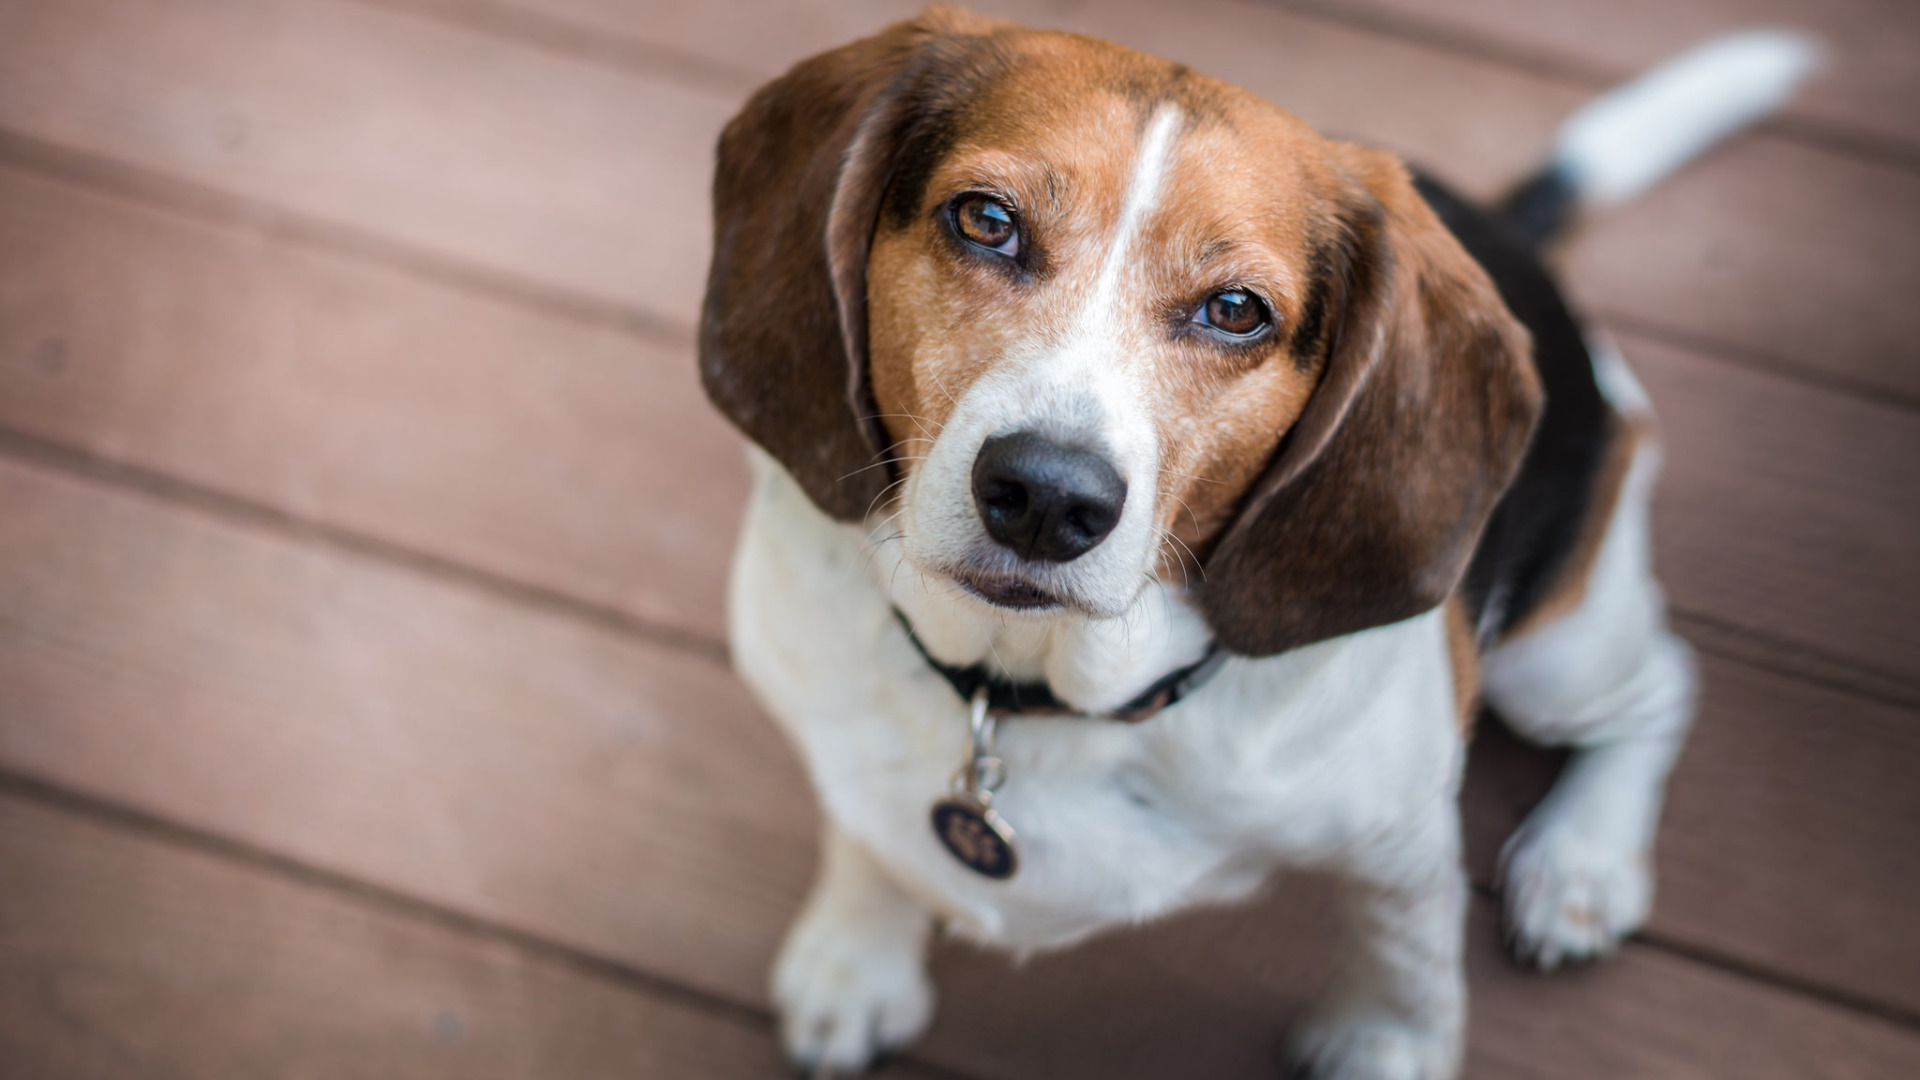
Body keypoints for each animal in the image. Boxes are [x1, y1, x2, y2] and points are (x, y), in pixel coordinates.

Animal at [706, 12, 1812, 1068]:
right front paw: (857, 955)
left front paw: (1381, 1043)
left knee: (1663, 686)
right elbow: (870, 835)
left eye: (1235, 310)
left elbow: (1405, 959)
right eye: (985, 220)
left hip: (1558, 651)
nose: (1046, 498)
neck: (1032, 692)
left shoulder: (1400, 841)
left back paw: (1581, 862)